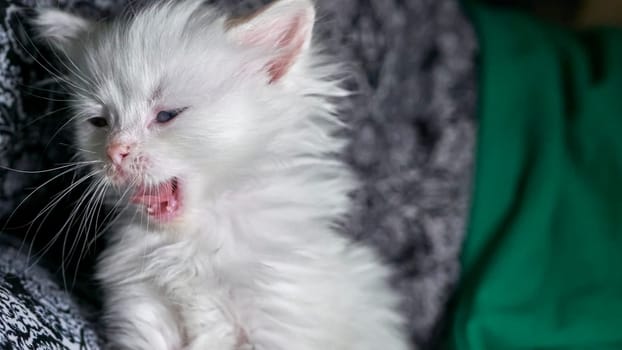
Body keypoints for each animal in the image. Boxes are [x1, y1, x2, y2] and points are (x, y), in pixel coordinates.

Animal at [36, 1, 412, 348]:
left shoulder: (277, 319)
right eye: (99, 122)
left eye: (167, 115)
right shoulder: (144, 307)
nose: (115, 151)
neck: (192, 243)